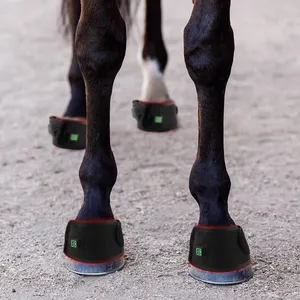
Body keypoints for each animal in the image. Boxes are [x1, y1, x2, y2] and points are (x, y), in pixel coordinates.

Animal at [54, 0, 253, 284]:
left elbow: (209, 49)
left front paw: (215, 215)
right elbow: (97, 44)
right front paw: (94, 210)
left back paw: (155, 91)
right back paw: (75, 110)